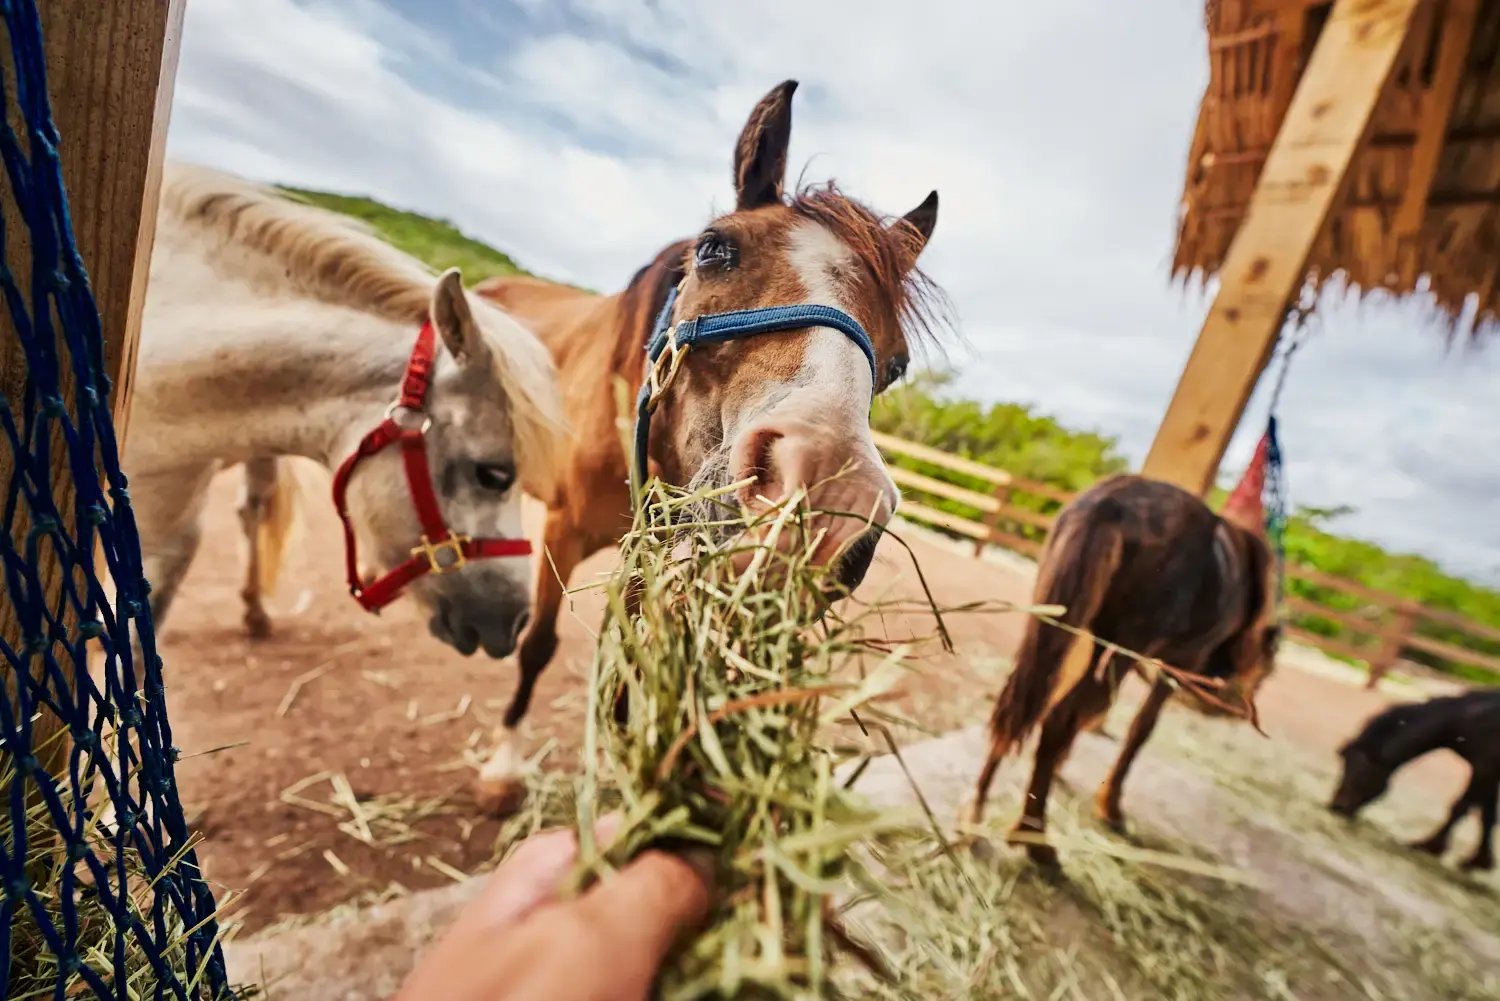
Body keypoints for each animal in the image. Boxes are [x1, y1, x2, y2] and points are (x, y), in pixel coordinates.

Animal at [460, 80, 946, 809]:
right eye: (716, 248)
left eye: (897, 363)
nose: (829, 496)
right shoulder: (563, 531)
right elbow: (539, 643)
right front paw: (503, 767)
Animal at [966, 455, 1280, 867]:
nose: (1232, 705)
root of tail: (1110, 505)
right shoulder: (1175, 663)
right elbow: (1138, 730)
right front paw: (1110, 806)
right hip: (1122, 644)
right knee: (1057, 716)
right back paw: (1034, 837)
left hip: (1056, 620)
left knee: (1020, 706)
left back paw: (975, 814)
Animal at [1329, 689, 1500, 871]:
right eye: (1344, 764)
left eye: (1363, 772)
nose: (1336, 806)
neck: (1476, 716)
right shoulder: (1489, 773)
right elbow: (1487, 815)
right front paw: (1480, 861)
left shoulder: (1485, 769)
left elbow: (1460, 807)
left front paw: (1430, 845)